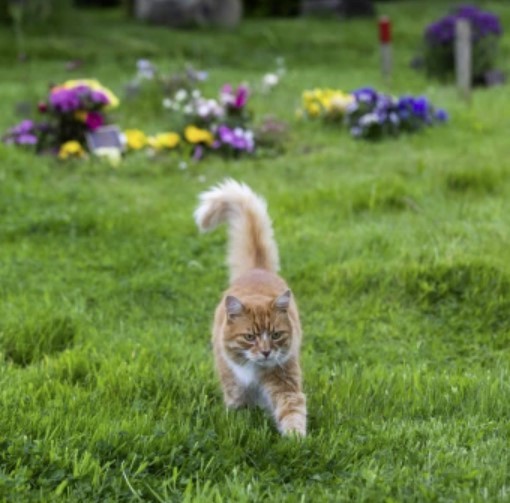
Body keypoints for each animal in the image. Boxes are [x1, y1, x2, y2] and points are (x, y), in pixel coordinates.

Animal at [194, 180, 306, 438]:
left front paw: (296, 439)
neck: (256, 372)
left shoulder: (285, 382)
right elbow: (238, 407)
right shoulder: (235, 383)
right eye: (249, 337)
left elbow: (292, 411)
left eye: (275, 335)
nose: (265, 352)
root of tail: (256, 269)